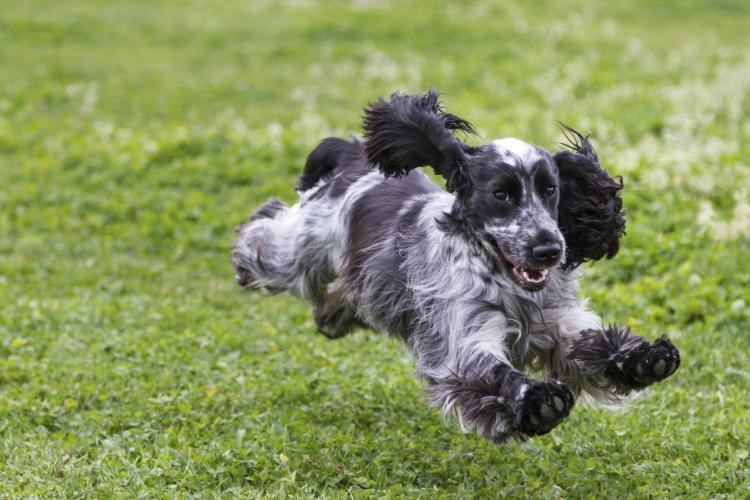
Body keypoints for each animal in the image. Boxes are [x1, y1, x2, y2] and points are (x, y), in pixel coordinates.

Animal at [234, 90, 680, 442]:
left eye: (551, 189)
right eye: (501, 194)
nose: (550, 249)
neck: (505, 282)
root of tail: (354, 161)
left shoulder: (554, 320)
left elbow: (594, 343)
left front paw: (645, 359)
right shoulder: (464, 333)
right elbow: (492, 372)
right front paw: (538, 402)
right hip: (296, 254)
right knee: (263, 229)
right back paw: (242, 259)